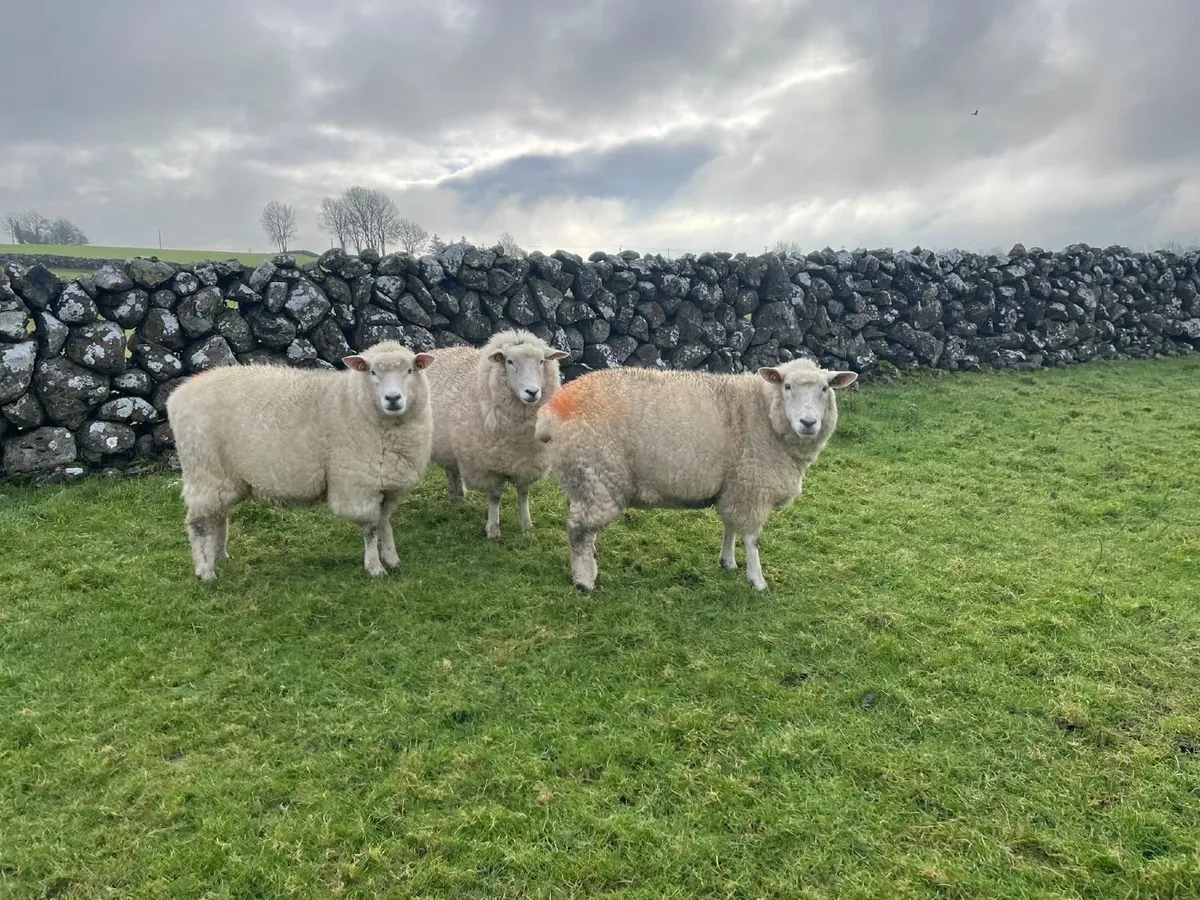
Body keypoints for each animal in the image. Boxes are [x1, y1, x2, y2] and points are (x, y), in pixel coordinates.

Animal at [166, 341, 435, 581]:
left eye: (410, 370)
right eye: (372, 372)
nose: (393, 398)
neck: (353, 401)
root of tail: (177, 396)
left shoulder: (390, 486)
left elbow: (385, 523)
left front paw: (392, 559)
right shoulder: (358, 486)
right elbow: (370, 529)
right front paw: (375, 568)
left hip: (224, 477)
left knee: (218, 516)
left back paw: (220, 557)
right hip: (204, 469)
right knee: (200, 523)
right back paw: (205, 571)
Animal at [425, 329, 568, 538]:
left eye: (541, 361)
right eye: (509, 361)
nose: (532, 392)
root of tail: (442, 350)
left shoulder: (527, 462)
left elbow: (523, 493)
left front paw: (526, 525)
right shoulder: (488, 466)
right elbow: (495, 497)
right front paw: (493, 529)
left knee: (452, 469)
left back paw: (458, 494)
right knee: (450, 470)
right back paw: (455, 495)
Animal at [533, 357, 857, 592]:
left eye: (825, 389)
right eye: (787, 386)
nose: (808, 422)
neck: (763, 412)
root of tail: (550, 412)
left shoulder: (735, 484)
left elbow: (730, 527)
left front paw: (728, 562)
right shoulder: (753, 487)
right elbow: (752, 539)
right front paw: (758, 581)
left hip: (582, 477)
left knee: (582, 526)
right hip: (598, 474)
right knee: (578, 530)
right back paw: (585, 580)